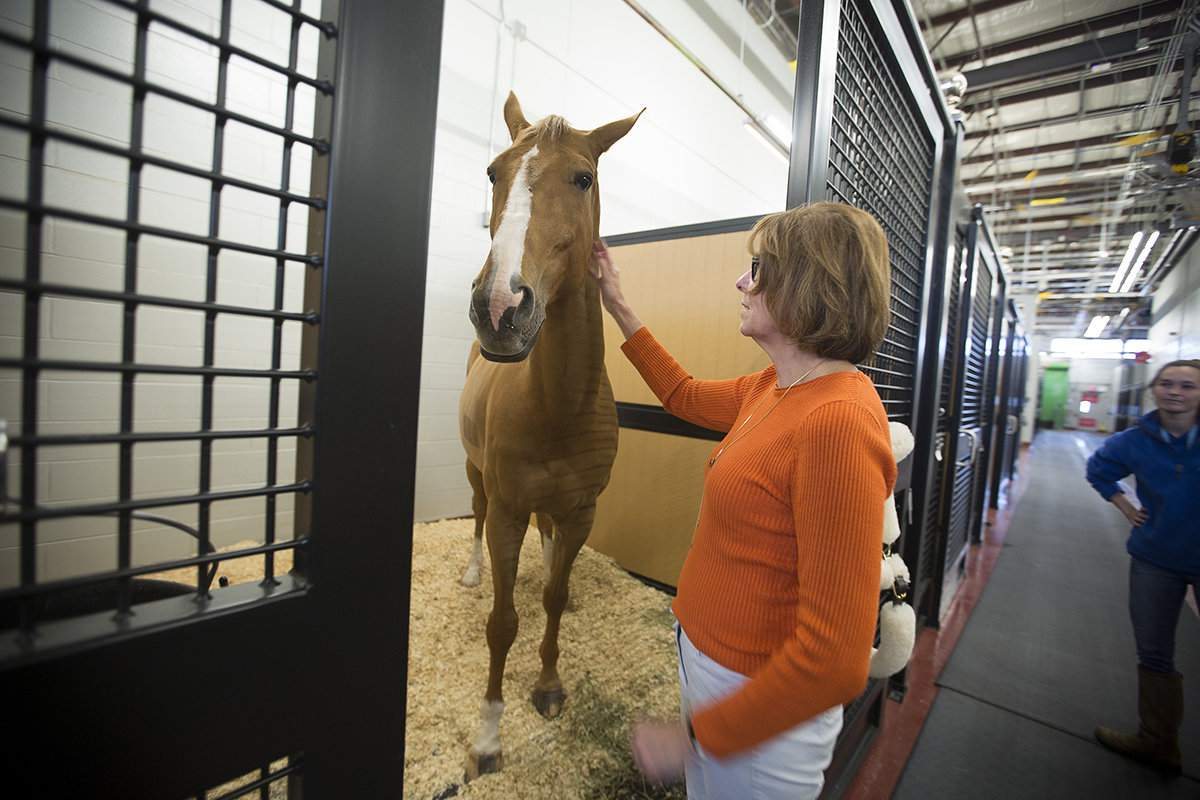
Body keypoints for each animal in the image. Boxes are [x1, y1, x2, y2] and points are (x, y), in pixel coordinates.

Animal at [456, 92, 638, 777]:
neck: (557, 405)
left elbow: (555, 599)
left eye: (583, 177)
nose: (500, 307)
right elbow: (503, 623)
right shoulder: (509, 510)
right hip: (477, 478)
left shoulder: (581, 510)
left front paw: (550, 686)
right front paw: (487, 739)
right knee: (477, 515)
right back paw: (474, 572)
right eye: (493, 173)